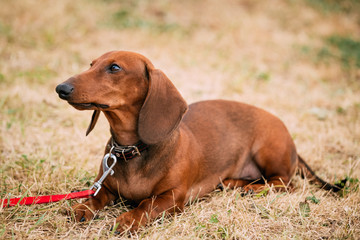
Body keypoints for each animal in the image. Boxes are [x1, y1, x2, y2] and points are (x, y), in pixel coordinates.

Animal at [55, 50, 344, 232]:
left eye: (114, 67)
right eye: (91, 64)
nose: (61, 88)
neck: (132, 149)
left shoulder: (173, 197)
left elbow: (147, 205)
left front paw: (128, 220)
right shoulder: (104, 186)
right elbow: (96, 196)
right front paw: (82, 208)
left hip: (268, 150)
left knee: (286, 183)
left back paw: (254, 189)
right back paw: (235, 184)